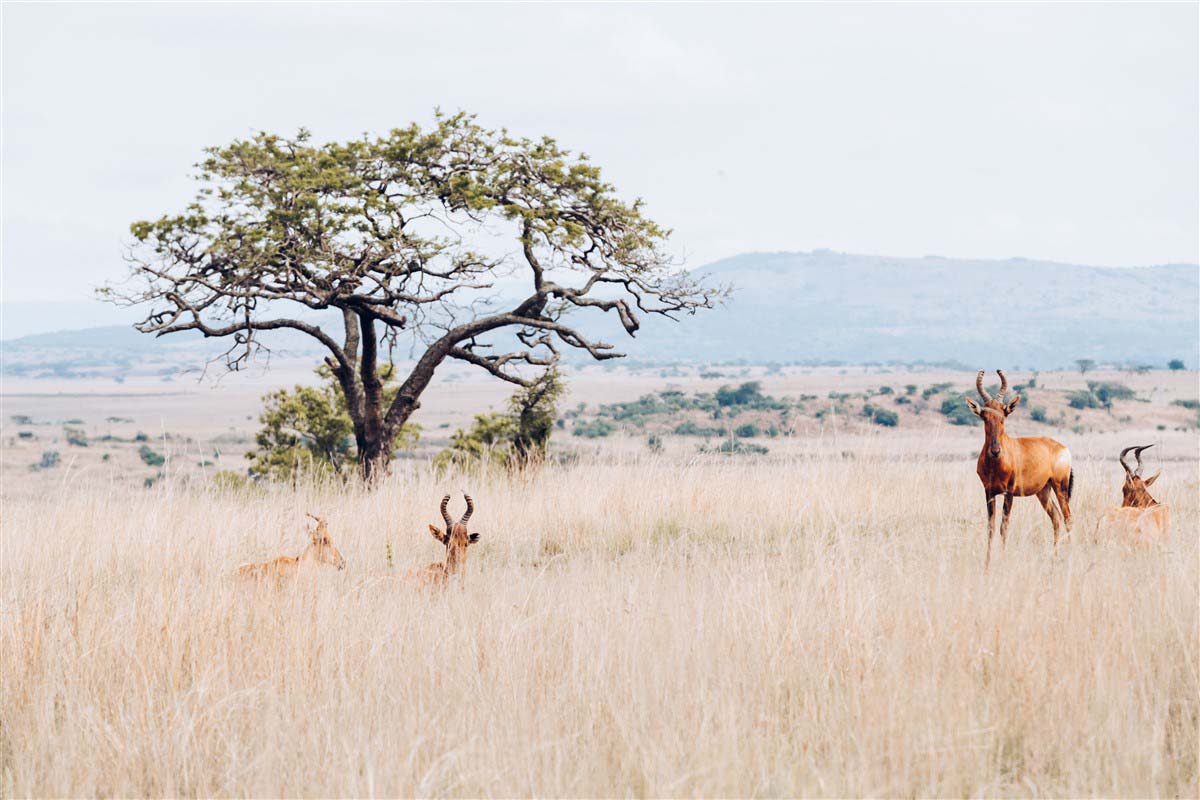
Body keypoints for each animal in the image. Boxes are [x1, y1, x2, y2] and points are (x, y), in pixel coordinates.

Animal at [964, 371, 1080, 566]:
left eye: (1003, 417)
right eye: (984, 418)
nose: (995, 450)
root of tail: (1063, 449)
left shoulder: (1009, 492)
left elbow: (1004, 527)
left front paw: (1003, 560)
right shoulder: (989, 492)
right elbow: (991, 527)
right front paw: (987, 563)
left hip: (1060, 486)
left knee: (1068, 517)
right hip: (1043, 491)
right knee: (1056, 518)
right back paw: (1054, 556)